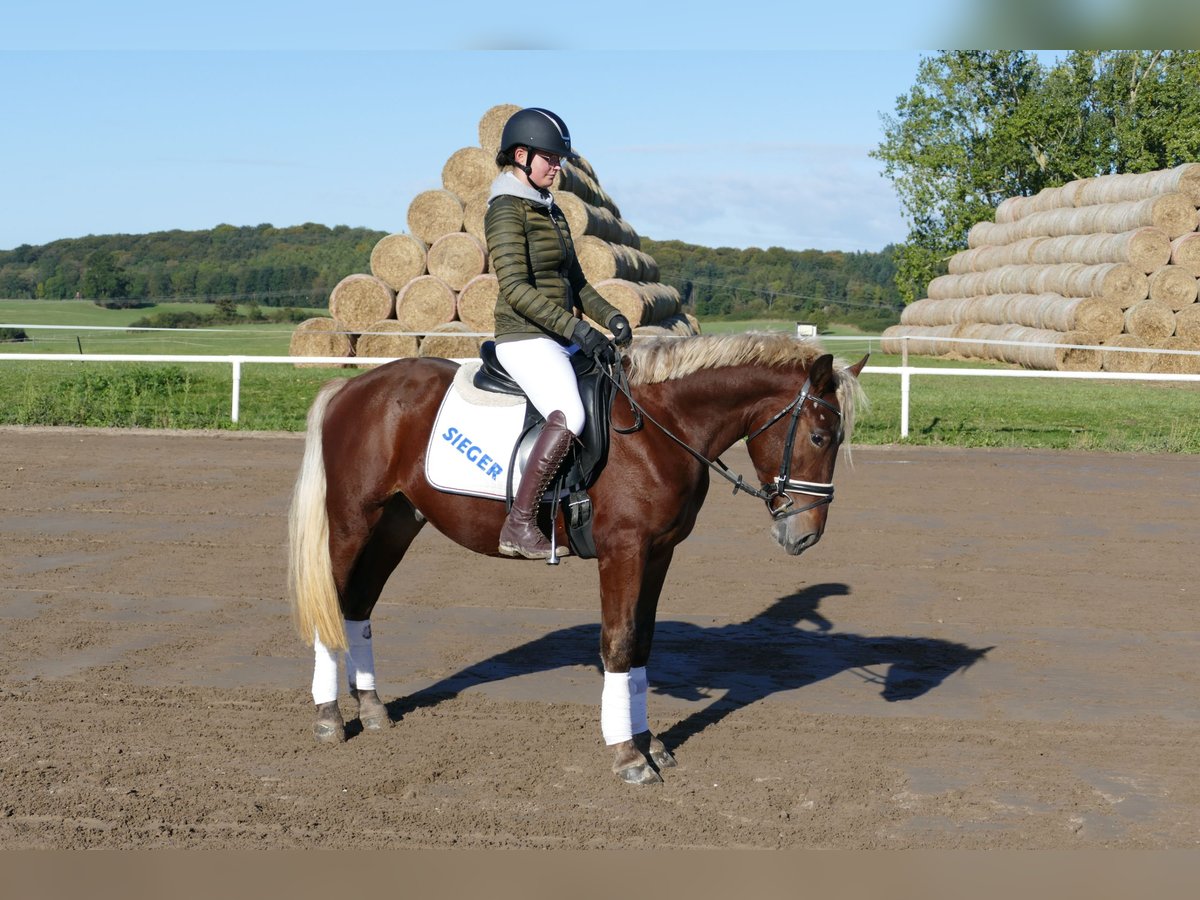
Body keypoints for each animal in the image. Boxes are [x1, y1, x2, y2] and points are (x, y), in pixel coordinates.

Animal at [285, 333, 868, 787]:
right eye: (819, 435)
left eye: (836, 437)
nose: (806, 535)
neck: (662, 425)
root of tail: (352, 387)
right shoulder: (623, 551)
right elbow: (618, 642)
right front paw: (628, 756)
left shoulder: (658, 553)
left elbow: (642, 643)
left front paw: (650, 742)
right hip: (354, 522)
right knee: (333, 606)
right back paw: (329, 718)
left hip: (397, 524)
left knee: (358, 606)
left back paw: (372, 709)